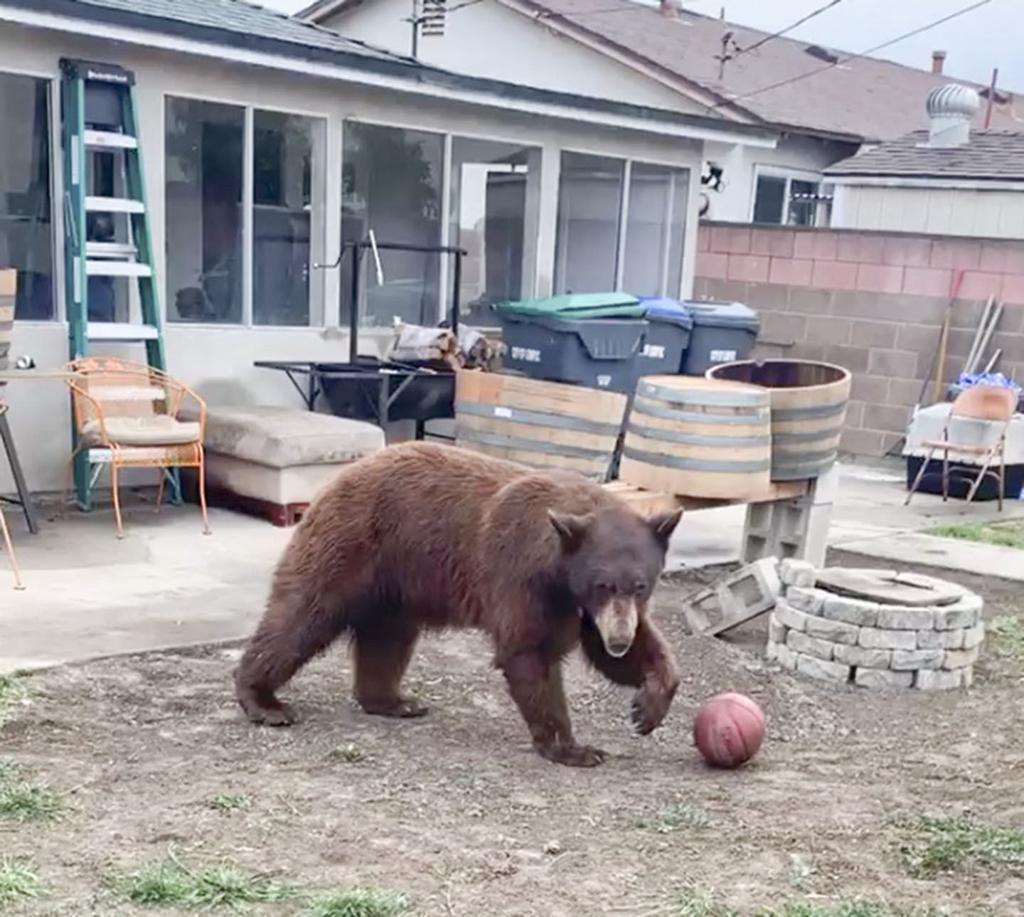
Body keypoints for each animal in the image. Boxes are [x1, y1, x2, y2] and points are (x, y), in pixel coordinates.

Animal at [234, 441, 683, 767]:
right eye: (602, 584)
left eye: (640, 585)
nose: (619, 639)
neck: (558, 568)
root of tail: (343, 473)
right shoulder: (523, 578)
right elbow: (529, 651)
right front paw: (573, 748)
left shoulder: (581, 607)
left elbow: (622, 651)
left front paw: (647, 707)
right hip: (350, 544)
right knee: (302, 615)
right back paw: (264, 701)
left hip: (395, 584)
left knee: (387, 639)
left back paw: (394, 701)